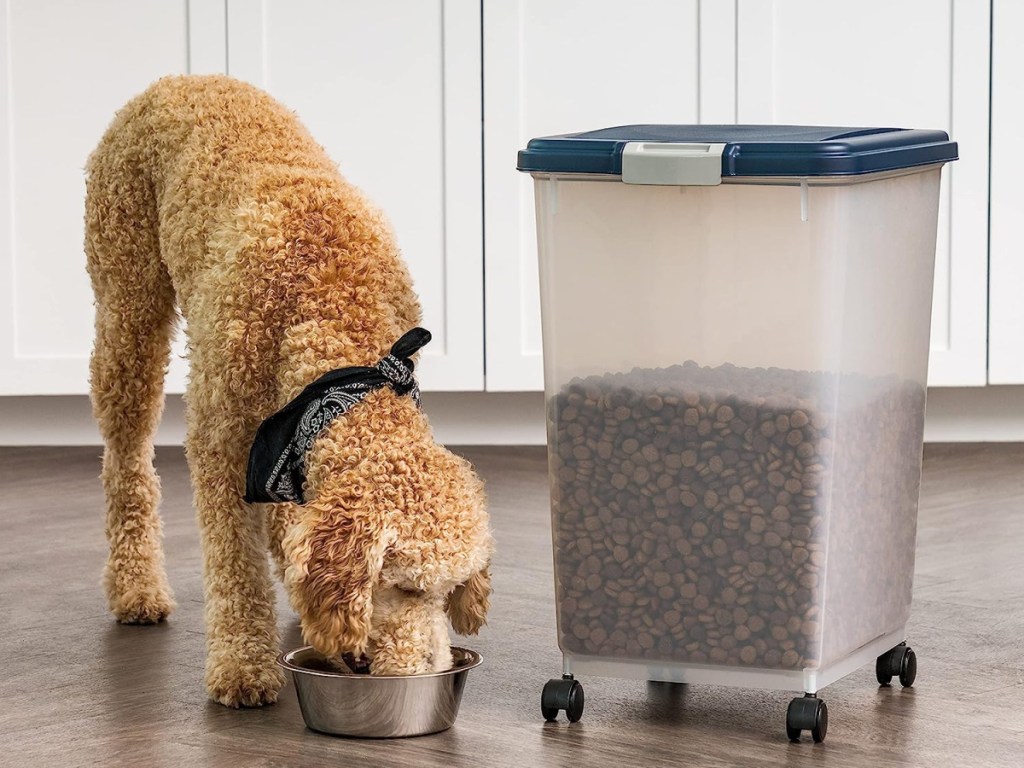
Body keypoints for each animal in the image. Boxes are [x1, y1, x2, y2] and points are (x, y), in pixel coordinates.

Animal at [86, 75, 493, 708]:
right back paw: (135, 587)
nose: (429, 668)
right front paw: (243, 664)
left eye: (448, 592)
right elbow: (235, 566)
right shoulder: (222, 442)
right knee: (125, 455)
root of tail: (175, 81)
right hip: (129, 305)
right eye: (402, 587)